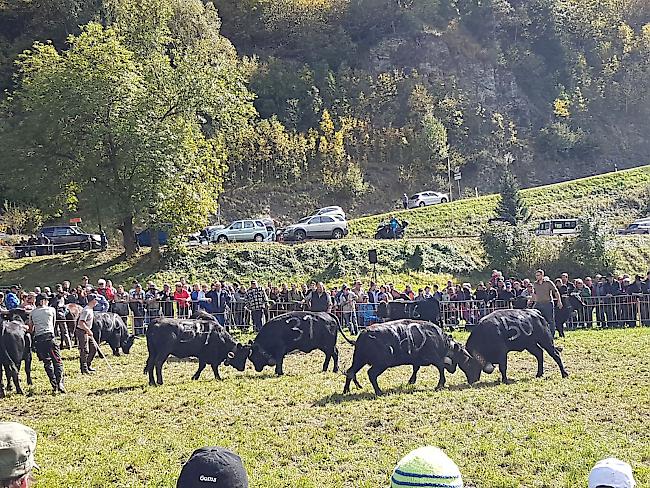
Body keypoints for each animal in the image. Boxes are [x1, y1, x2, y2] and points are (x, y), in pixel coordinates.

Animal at [342, 320, 478, 396]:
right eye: (469, 361)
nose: (474, 380)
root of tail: (364, 334)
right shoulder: (434, 358)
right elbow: (440, 368)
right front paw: (440, 384)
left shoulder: (417, 360)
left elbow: (415, 369)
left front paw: (411, 381)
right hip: (381, 363)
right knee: (371, 374)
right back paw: (379, 391)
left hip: (359, 360)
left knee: (350, 372)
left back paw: (346, 390)